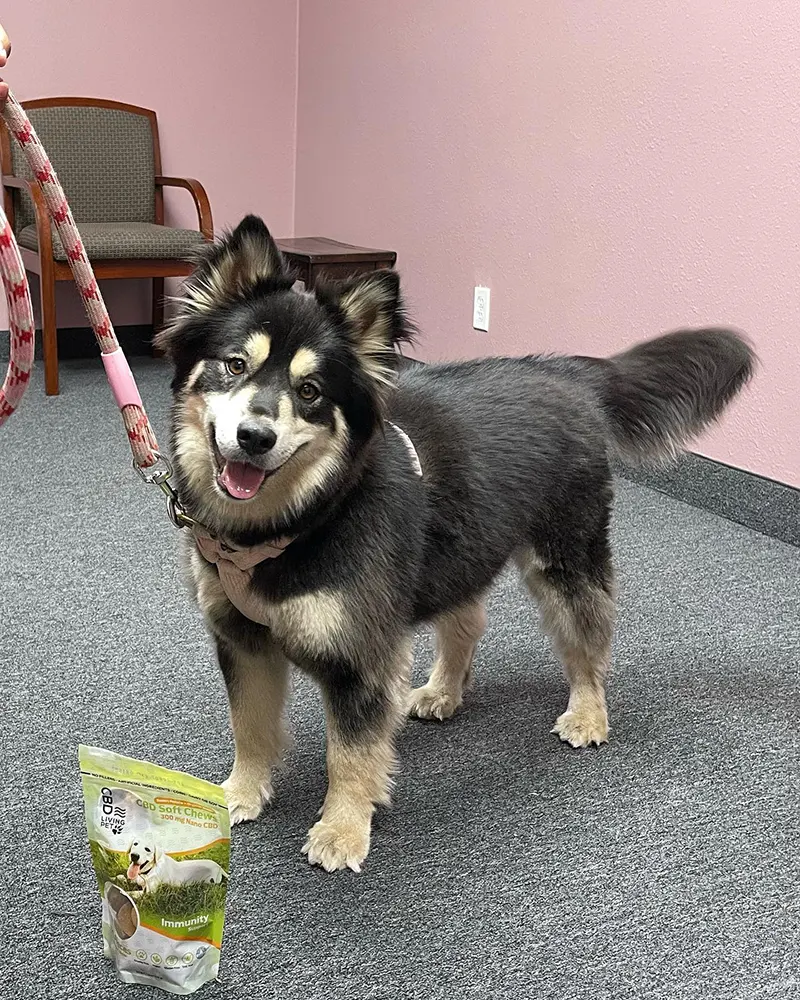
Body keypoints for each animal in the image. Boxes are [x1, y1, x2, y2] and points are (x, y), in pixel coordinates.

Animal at [158, 215, 756, 872]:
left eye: (310, 390)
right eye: (235, 363)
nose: (254, 437)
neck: (296, 522)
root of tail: (565, 371)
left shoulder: (361, 656)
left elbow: (351, 756)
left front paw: (342, 830)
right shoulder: (241, 639)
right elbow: (251, 727)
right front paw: (239, 794)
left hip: (565, 555)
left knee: (590, 639)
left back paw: (588, 713)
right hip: (459, 549)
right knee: (468, 620)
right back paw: (445, 691)